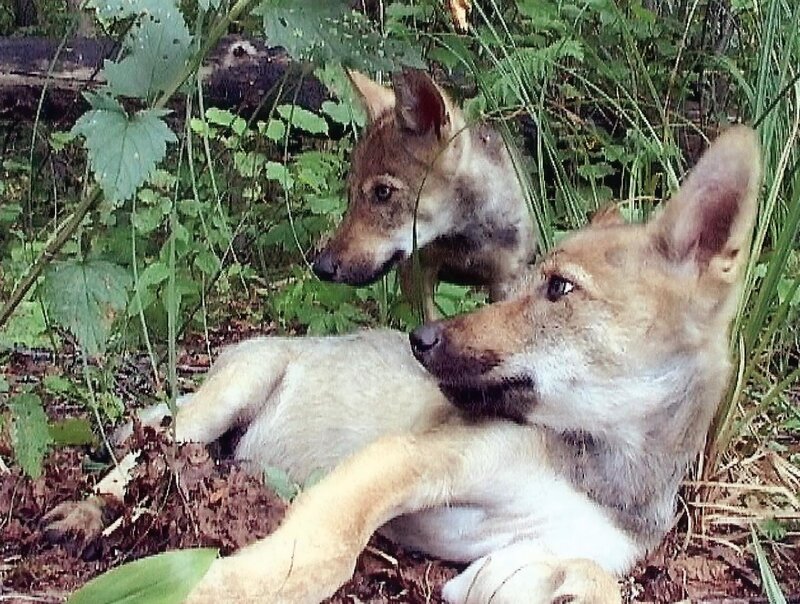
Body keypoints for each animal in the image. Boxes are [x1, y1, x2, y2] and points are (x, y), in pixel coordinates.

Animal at [49, 126, 760, 603]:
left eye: (559, 288)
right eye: (540, 280)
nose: (420, 338)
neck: (603, 467)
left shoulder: (498, 565)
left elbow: (592, 582)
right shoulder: (411, 462)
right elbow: (324, 553)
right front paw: (209, 588)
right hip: (225, 397)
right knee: (135, 463)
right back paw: (83, 515)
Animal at [312, 68, 536, 319]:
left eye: (383, 192)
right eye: (350, 194)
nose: (320, 267)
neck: (465, 241)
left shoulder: (506, 280)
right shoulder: (416, 274)